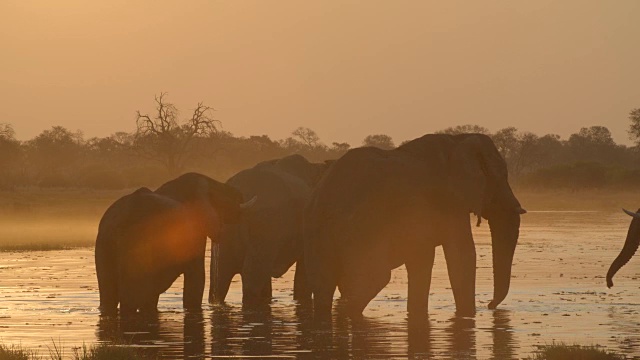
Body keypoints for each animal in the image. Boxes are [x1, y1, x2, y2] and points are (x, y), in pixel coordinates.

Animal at [95, 172, 255, 316]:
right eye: (223, 197)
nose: (240, 194)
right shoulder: (194, 231)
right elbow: (196, 278)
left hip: (104, 243)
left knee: (108, 294)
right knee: (131, 297)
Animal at [304, 134, 524, 320]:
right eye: (501, 177)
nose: (490, 306)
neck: (457, 140)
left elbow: (422, 259)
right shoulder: (448, 202)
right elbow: (462, 254)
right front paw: (468, 316)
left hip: (318, 229)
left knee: (324, 284)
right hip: (361, 228)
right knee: (374, 277)